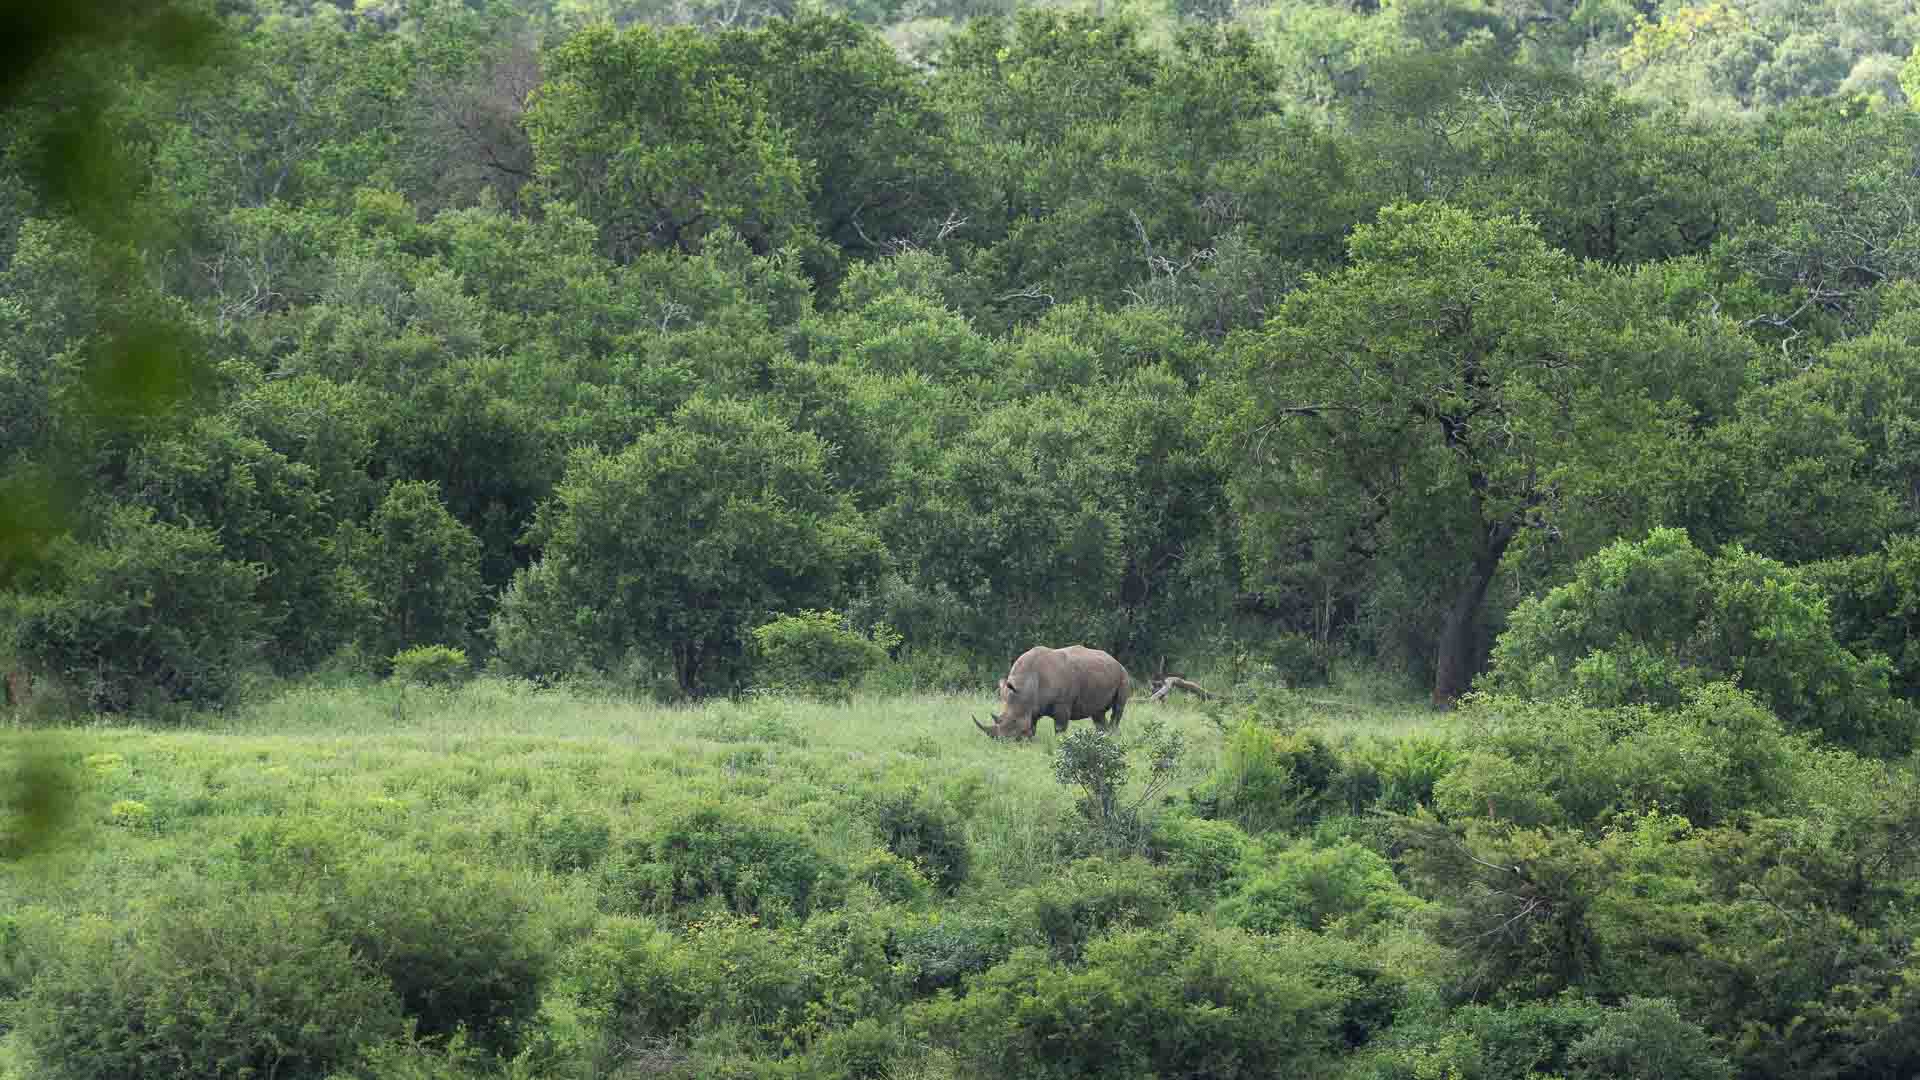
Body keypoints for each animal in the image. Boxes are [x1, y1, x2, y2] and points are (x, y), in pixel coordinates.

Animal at [972, 645, 1131, 740]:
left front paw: (1059, 743)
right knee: (1098, 714)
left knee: (1117, 708)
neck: (1025, 686)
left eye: (1013, 721)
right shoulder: (1032, 705)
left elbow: (1059, 727)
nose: (1003, 741)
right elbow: (1032, 725)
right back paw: (1104, 738)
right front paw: (1029, 741)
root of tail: (1115, 660)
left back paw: (1112, 736)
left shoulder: (1062, 703)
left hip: (1123, 676)